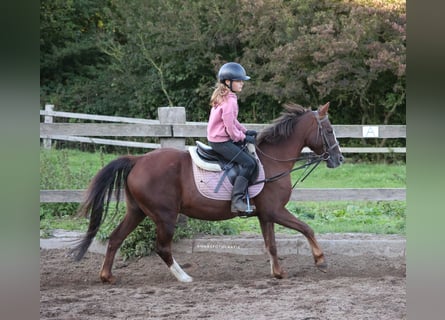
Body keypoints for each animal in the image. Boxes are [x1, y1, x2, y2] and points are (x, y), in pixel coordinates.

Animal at [70, 102, 344, 282]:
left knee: (115, 238)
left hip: (137, 211)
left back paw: (107, 276)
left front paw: (278, 272)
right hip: (165, 216)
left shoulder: (265, 214)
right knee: (162, 247)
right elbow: (306, 228)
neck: (272, 160)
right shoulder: (275, 210)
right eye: (330, 131)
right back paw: (184, 277)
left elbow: (272, 245)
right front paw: (321, 260)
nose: (339, 159)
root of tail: (137, 160)